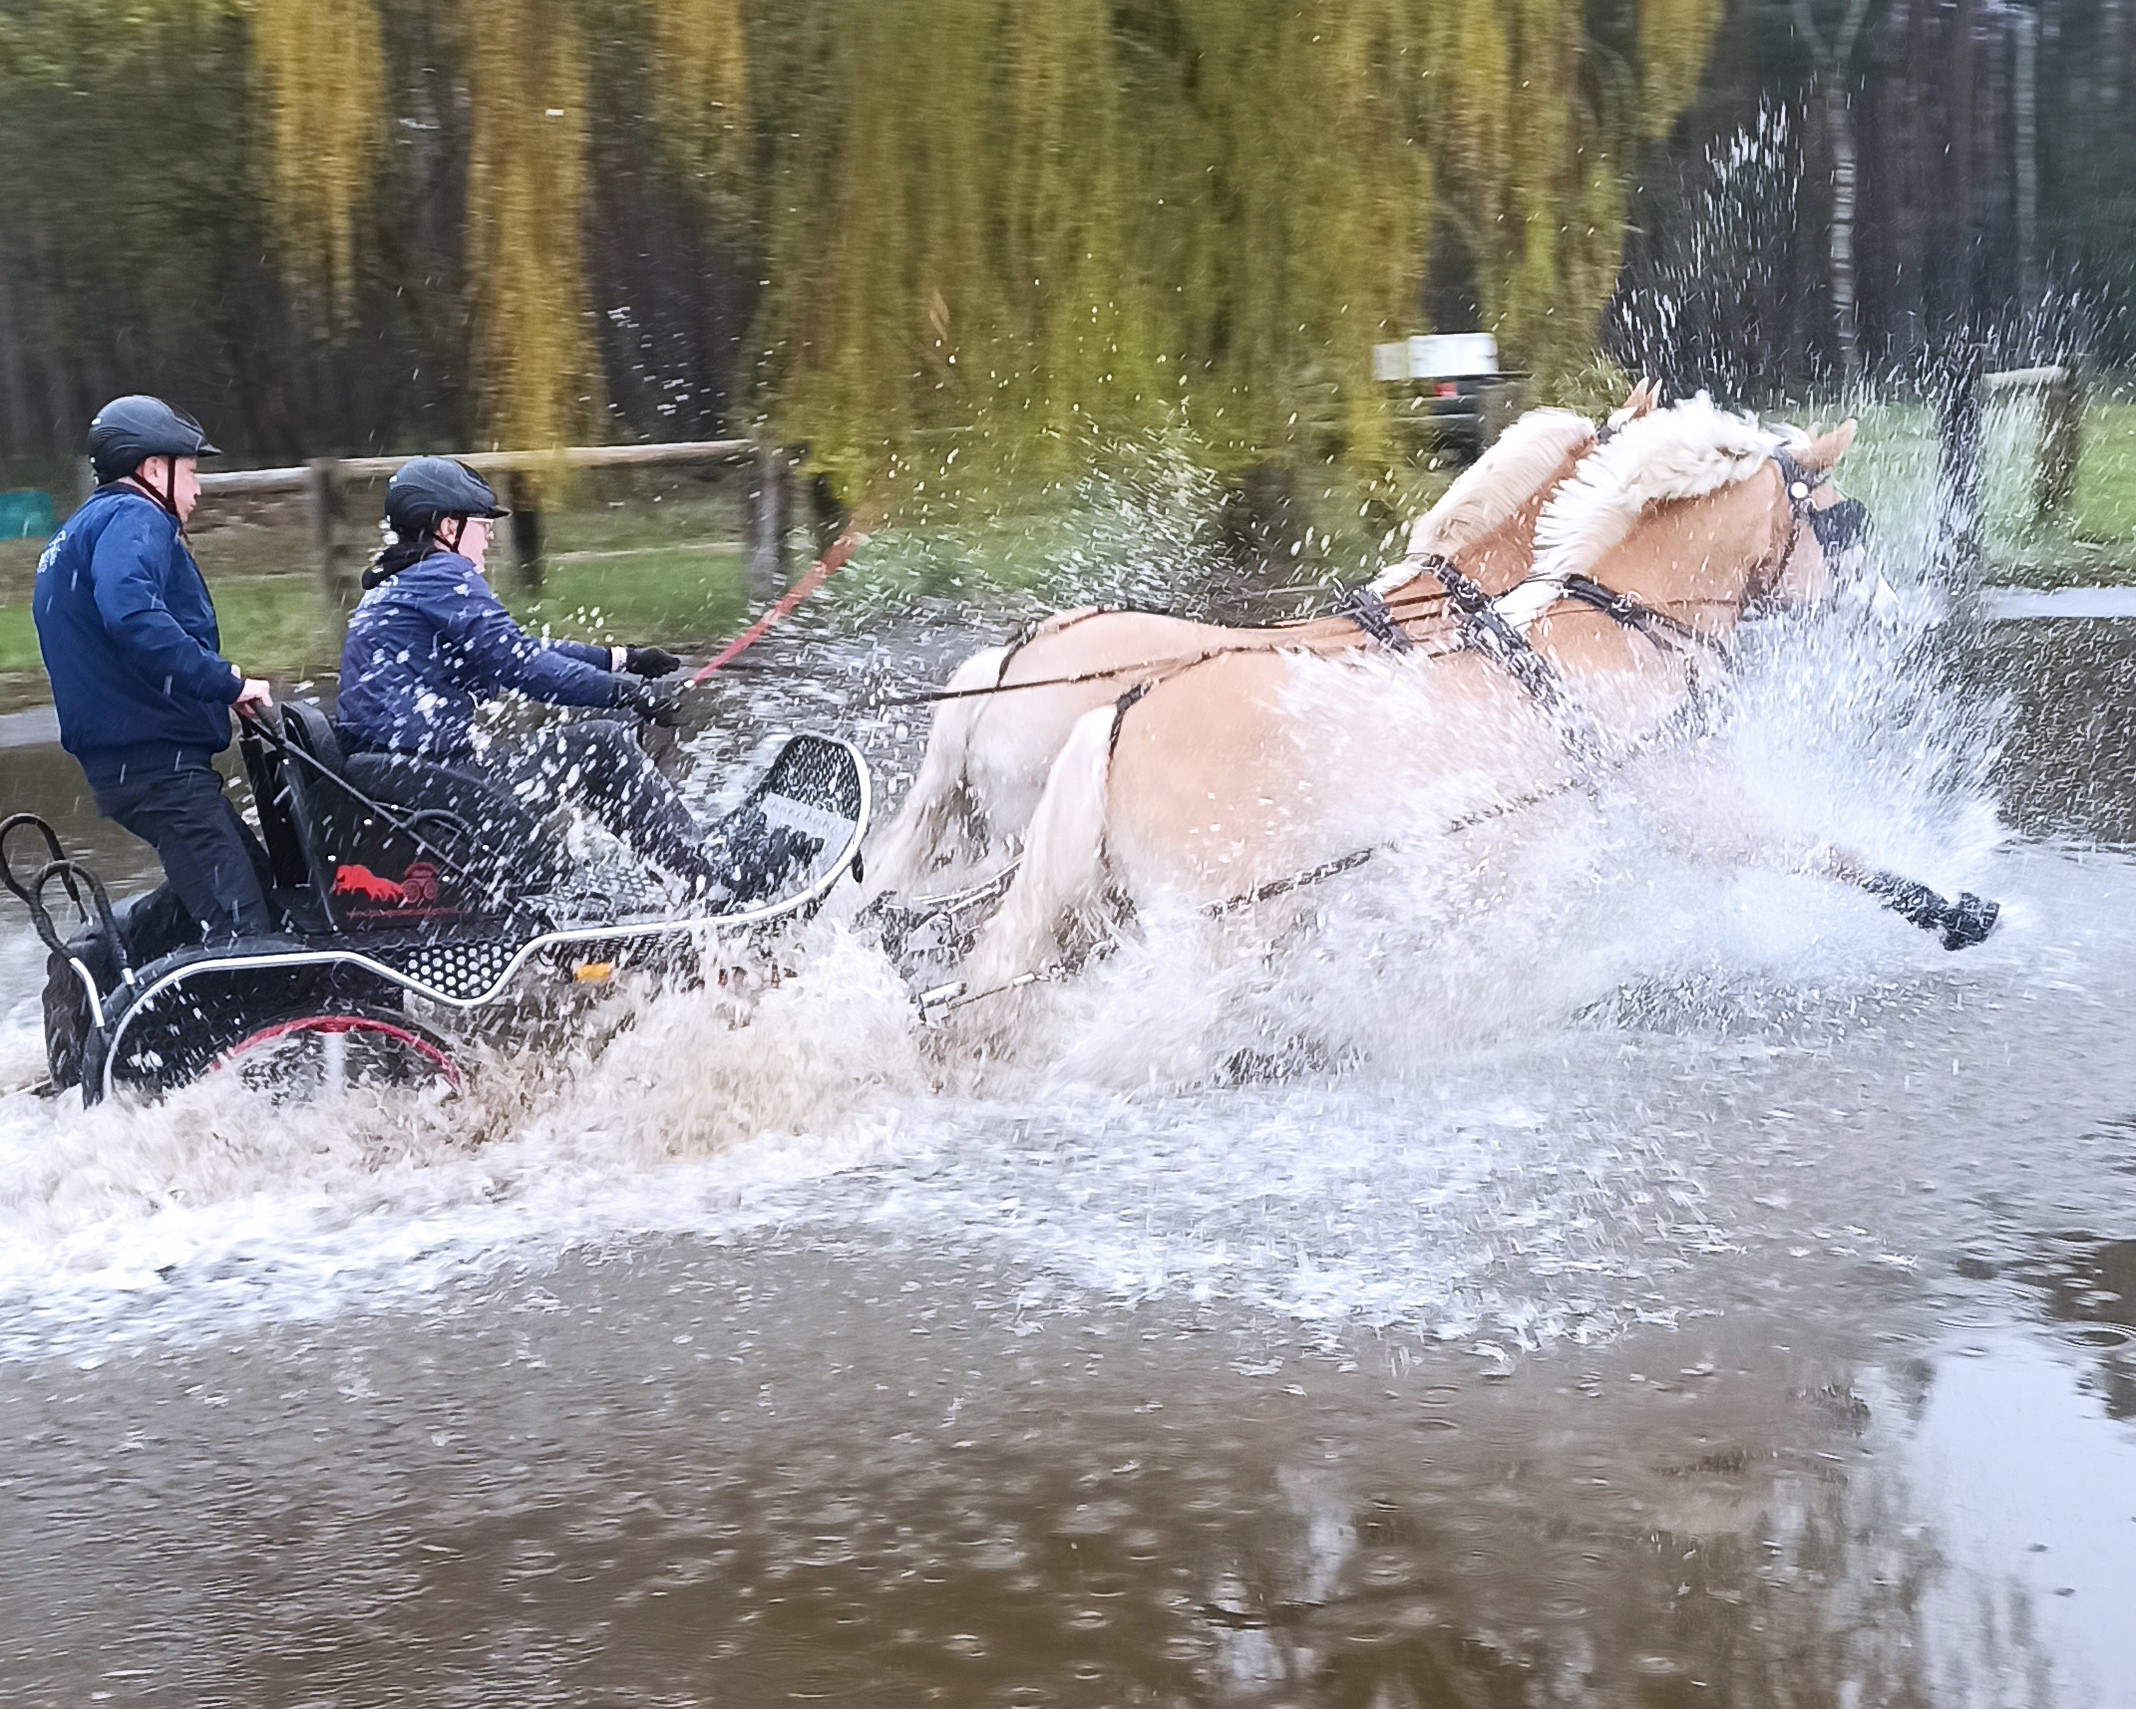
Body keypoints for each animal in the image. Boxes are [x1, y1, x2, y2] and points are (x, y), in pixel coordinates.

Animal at [944, 397, 1990, 1029]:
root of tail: (1112, 707)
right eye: (1845, 519)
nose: (1895, 612)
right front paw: (1958, 910)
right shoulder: (1689, 806)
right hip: (1216, 921)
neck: (1606, 628)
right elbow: (1821, 850)